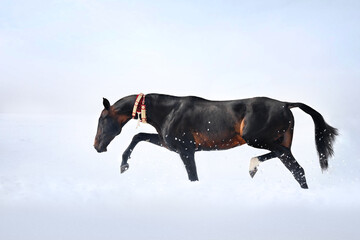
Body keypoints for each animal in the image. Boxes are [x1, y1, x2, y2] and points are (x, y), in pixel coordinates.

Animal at [93, 93, 338, 188]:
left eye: (102, 119)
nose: (97, 146)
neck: (169, 111)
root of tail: (287, 104)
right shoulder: (169, 144)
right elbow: (139, 136)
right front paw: (124, 165)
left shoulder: (186, 150)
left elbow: (193, 177)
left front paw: (124, 165)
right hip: (277, 142)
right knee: (293, 167)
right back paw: (253, 167)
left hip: (257, 138)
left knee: (294, 166)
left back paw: (253, 166)